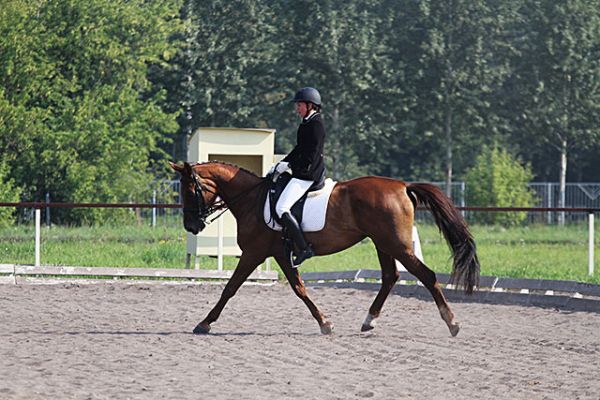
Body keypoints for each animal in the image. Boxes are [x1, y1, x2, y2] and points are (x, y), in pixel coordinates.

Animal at [171, 161, 480, 336]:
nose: (191, 225)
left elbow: (230, 288)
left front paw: (205, 323)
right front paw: (325, 323)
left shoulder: (254, 253)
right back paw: (369, 321)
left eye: (189, 189)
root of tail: (403, 186)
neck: (252, 199)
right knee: (390, 277)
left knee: (426, 276)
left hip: (396, 245)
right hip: (383, 244)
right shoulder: (280, 254)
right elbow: (299, 289)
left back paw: (452, 323)